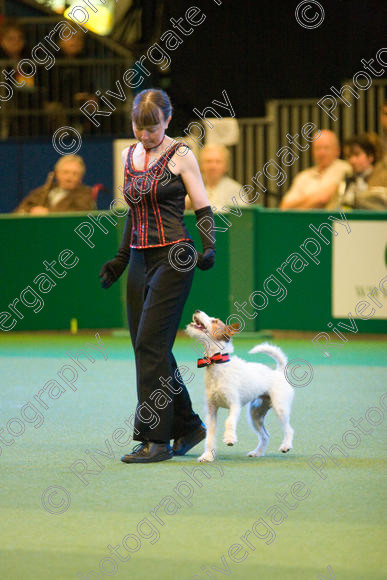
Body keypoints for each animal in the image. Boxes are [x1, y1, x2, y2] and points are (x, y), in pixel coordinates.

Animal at [186, 310, 296, 464]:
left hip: (280, 408)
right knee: (265, 435)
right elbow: (210, 437)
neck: (217, 364)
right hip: (255, 414)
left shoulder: (234, 405)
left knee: (289, 429)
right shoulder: (211, 411)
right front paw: (208, 455)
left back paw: (286, 445)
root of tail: (278, 372)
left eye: (214, 321)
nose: (197, 311)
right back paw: (257, 452)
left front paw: (229, 438)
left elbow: (229, 421)